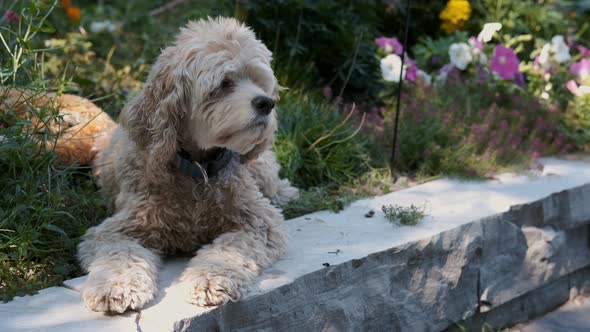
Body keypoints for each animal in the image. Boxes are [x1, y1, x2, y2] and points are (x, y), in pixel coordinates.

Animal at [77, 17, 300, 314]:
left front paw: (211, 280)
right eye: (224, 83)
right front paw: (115, 286)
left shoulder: (260, 222)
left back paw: (286, 194)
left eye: (258, 81)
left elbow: (228, 250)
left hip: (260, 169)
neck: (198, 169)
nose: (267, 103)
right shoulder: (116, 230)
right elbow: (121, 256)